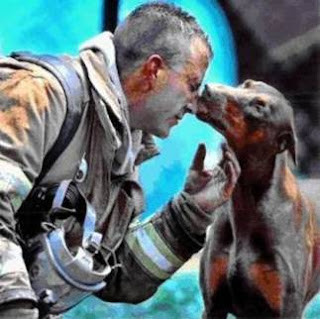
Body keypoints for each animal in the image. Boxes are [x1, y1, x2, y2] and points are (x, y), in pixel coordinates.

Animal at [196, 79, 320, 318]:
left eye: (259, 107)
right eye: (246, 84)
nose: (207, 89)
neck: (246, 202)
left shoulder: (287, 308)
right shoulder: (213, 305)